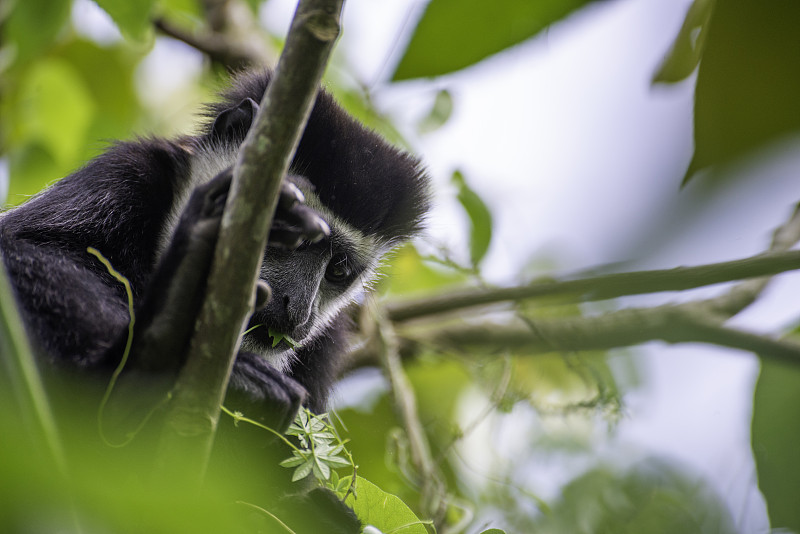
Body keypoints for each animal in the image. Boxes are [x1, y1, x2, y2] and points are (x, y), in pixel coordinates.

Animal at [1, 71, 432, 464]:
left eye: (338, 270)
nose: (297, 310)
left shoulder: (326, 341)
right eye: (286, 231)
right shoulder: (124, 175)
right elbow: (24, 247)